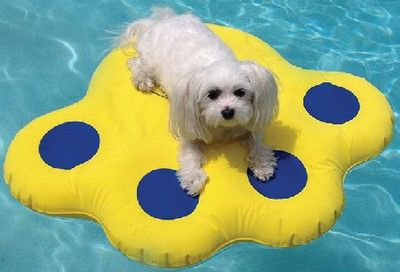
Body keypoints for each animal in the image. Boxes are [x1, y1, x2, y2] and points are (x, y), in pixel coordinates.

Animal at [119, 7, 278, 196]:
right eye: (212, 94)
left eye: (240, 92)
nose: (228, 111)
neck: (224, 128)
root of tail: (162, 20)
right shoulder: (190, 123)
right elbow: (190, 154)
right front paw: (192, 177)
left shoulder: (248, 124)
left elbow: (257, 142)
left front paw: (262, 163)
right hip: (150, 61)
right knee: (136, 63)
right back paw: (142, 80)